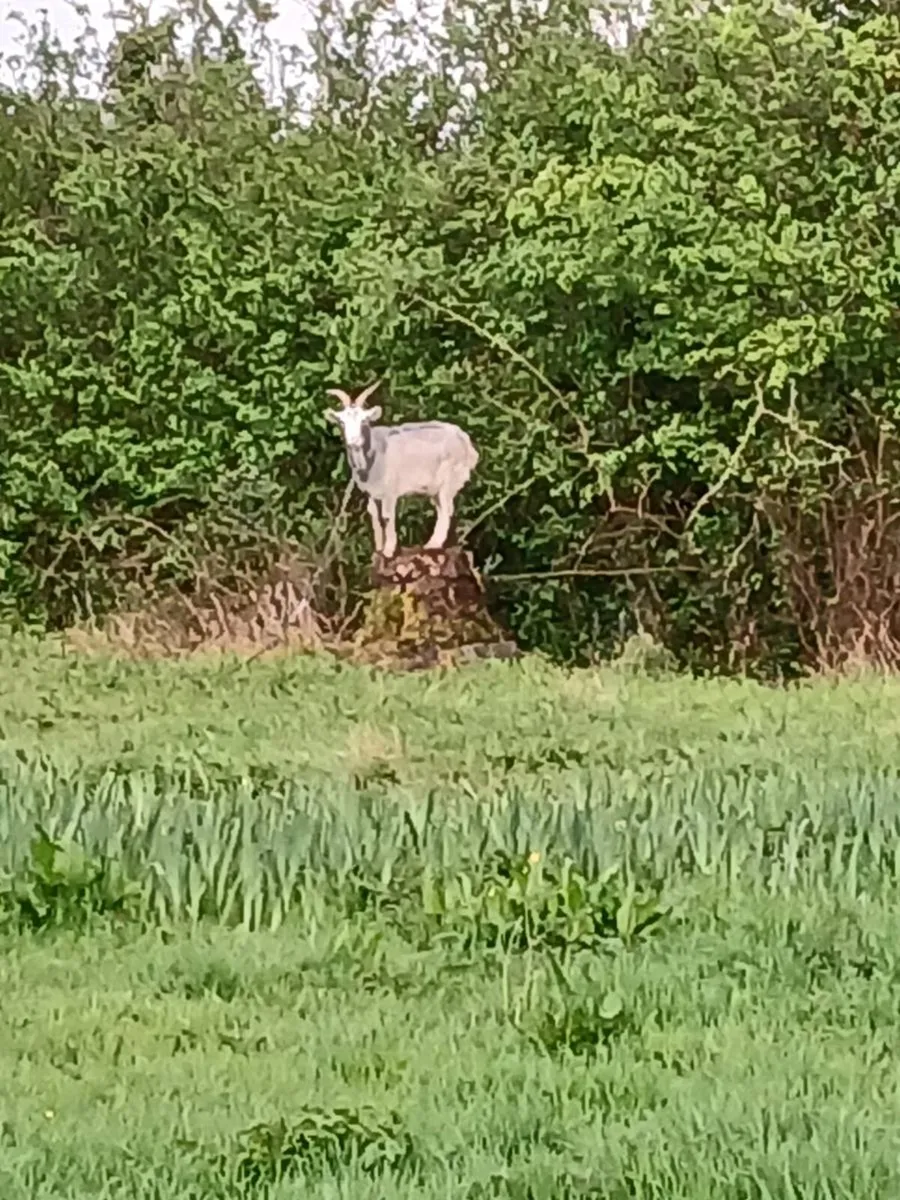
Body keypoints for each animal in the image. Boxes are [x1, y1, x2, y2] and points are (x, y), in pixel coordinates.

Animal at [325, 380, 478, 559]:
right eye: (342, 422)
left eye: (364, 421)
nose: (354, 441)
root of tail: (467, 444)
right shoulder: (371, 493)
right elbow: (374, 516)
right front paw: (378, 550)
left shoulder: (390, 491)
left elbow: (387, 517)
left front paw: (389, 551)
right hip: (436, 488)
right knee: (443, 509)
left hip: (450, 478)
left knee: (446, 510)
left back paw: (433, 545)